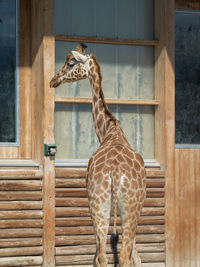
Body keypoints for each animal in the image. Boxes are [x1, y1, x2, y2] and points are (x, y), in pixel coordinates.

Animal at [50, 43, 146, 266]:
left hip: (101, 206)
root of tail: (115, 173)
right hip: (120, 209)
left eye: (71, 63)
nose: (53, 80)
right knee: (115, 256)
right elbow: (135, 257)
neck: (110, 131)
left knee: (104, 255)